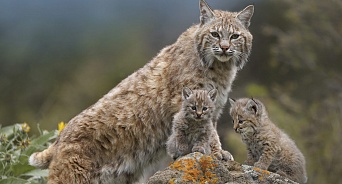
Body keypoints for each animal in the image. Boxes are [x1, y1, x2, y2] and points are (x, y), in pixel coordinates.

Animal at [30, 0, 254, 183]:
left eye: (235, 36)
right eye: (215, 34)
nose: (224, 48)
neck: (220, 67)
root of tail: (60, 137)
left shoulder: (212, 108)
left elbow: (209, 131)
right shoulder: (188, 104)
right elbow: (210, 134)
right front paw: (217, 154)